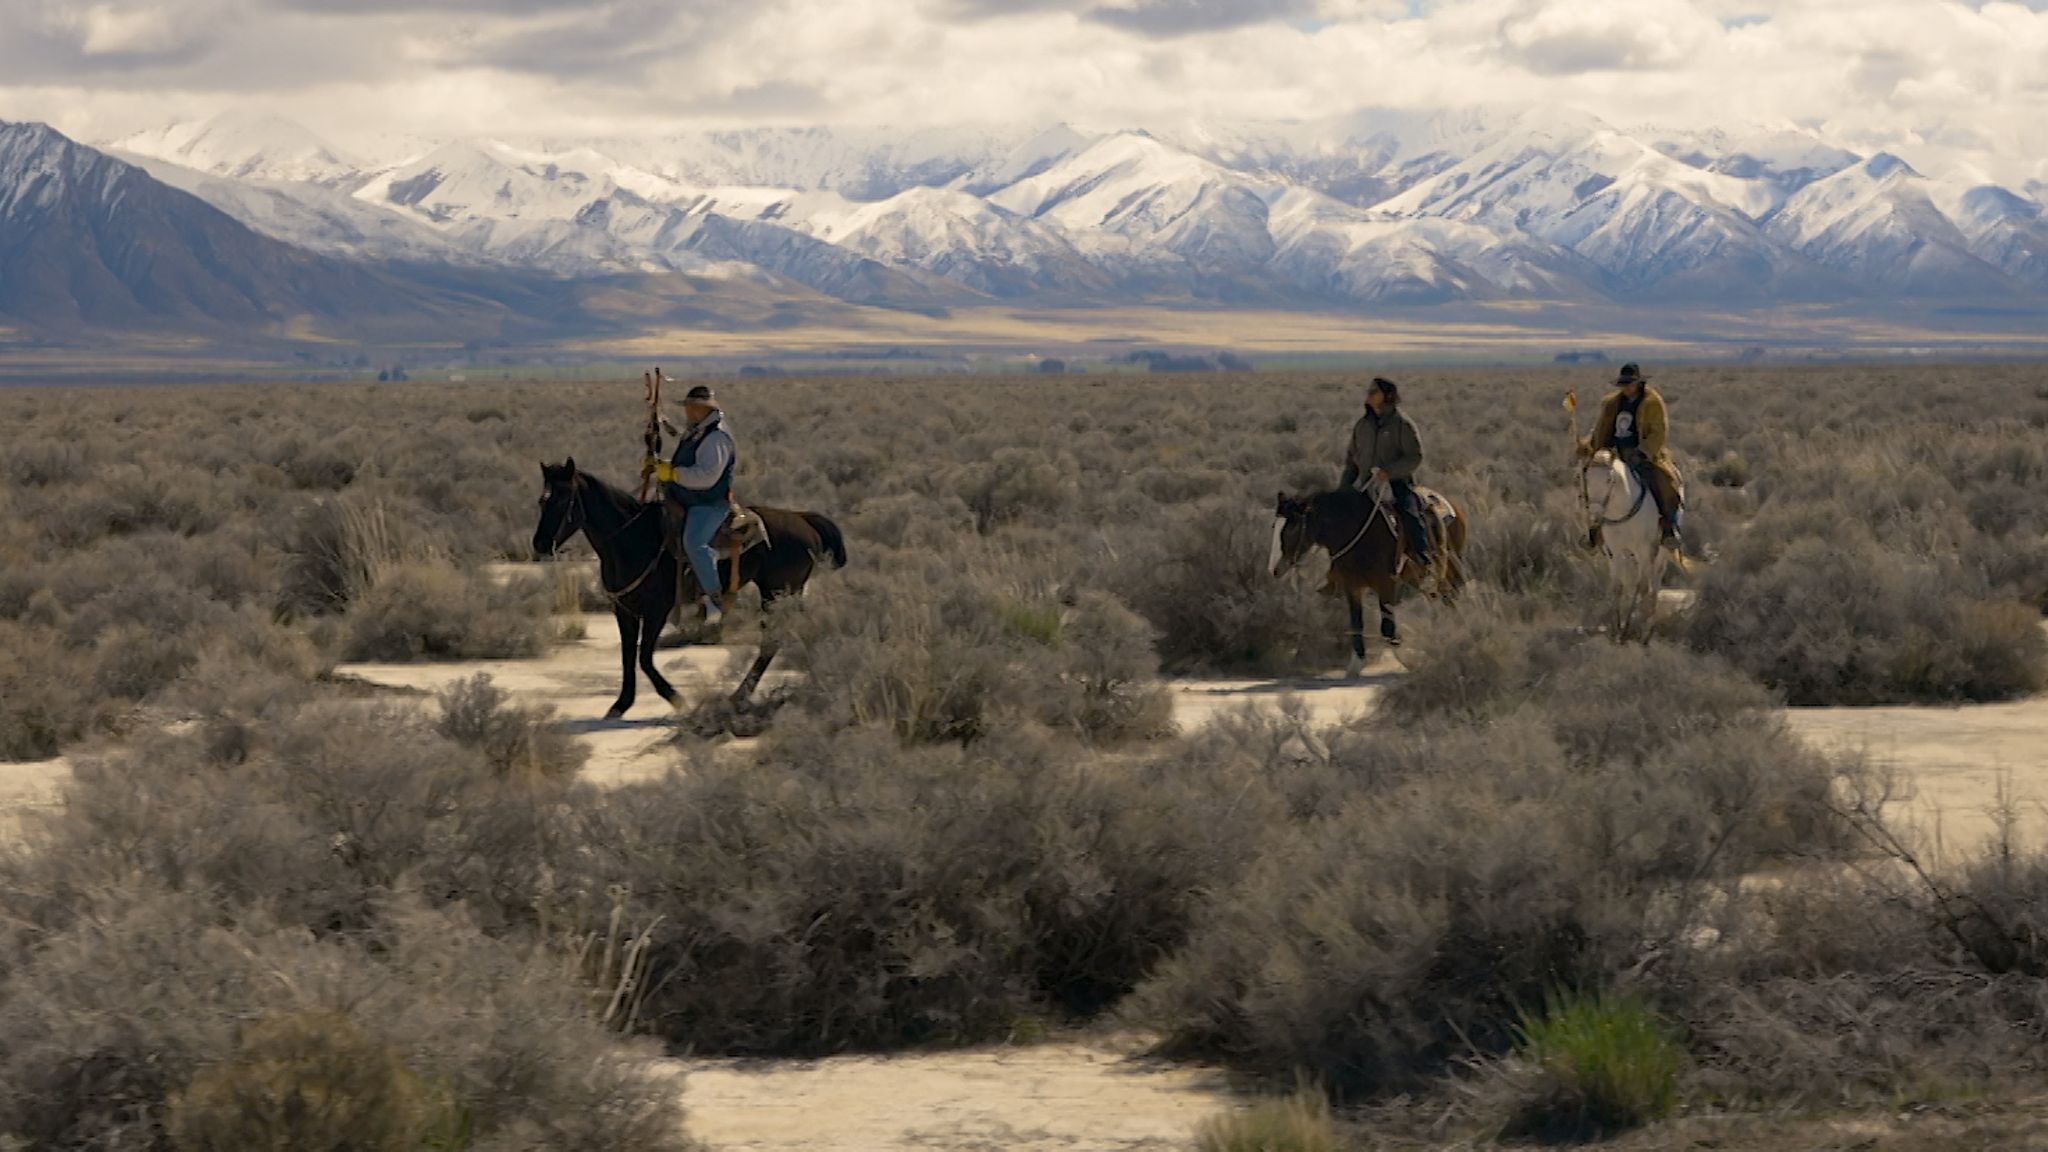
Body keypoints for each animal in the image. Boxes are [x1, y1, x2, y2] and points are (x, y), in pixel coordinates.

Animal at [536, 455, 847, 709]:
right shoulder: (624, 610)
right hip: (784, 594)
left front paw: (677, 699)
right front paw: (622, 703)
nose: (539, 544)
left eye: (562, 500)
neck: (632, 540)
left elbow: (644, 658)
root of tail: (803, 520)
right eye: (542, 500)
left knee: (774, 641)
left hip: (777, 593)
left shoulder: (657, 611)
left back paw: (741, 694)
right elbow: (627, 655)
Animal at [1269, 481, 1466, 672]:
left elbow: (1387, 628)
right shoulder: (1352, 587)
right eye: (1274, 527)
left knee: (1452, 598)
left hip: (1449, 569)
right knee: (1442, 601)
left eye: (1292, 528)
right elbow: (1357, 624)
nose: (1274, 570)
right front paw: (1356, 664)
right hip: (1418, 579)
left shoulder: (1386, 585)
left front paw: (1407, 659)